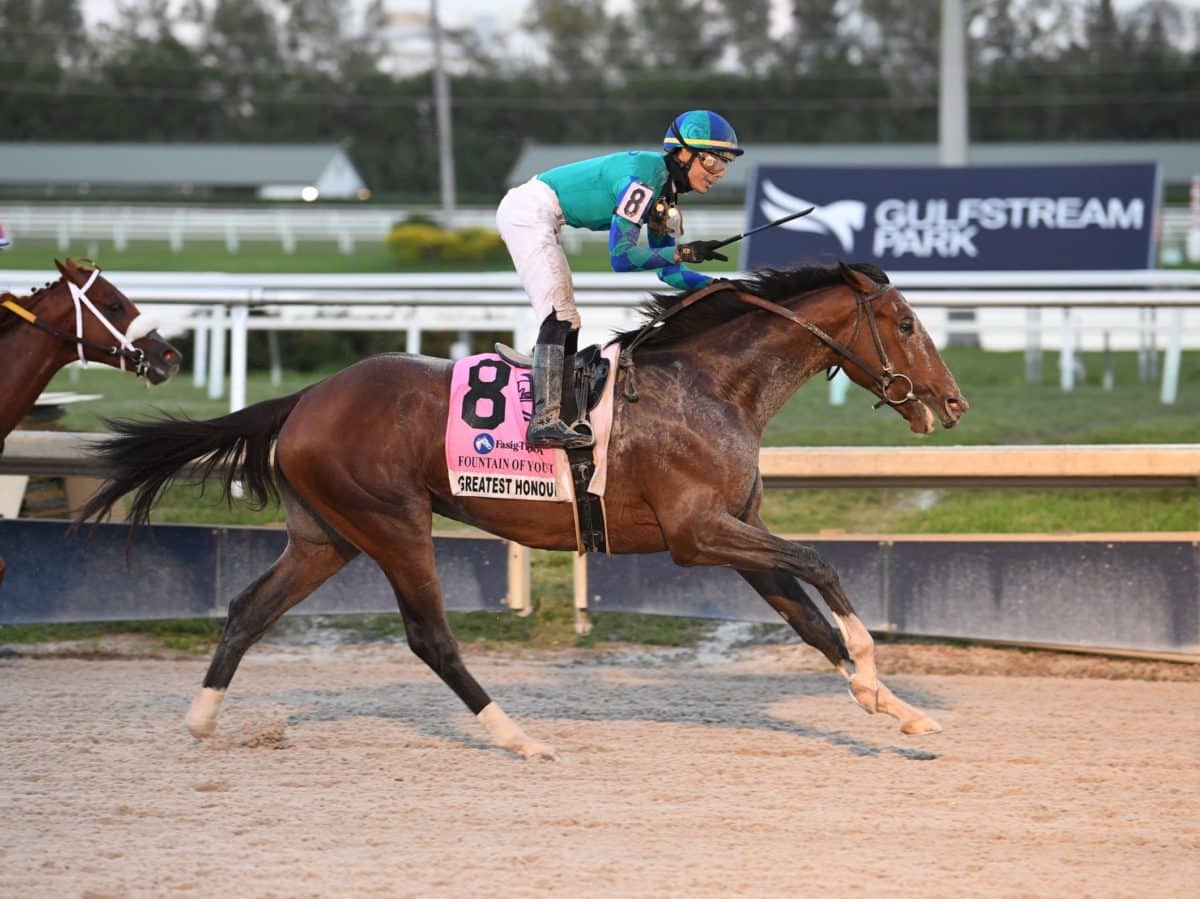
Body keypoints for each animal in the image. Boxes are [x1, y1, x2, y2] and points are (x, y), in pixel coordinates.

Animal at [77, 261, 964, 758]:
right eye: (907, 321)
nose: (952, 402)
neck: (709, 386)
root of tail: (302, 400)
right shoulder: (698, 534)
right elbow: (824, 566)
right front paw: (875, 674)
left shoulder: (736, 535)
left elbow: (810, 618)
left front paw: (897, 707)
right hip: (394, 522)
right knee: (430, 637)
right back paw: (519, 737)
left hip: (326, 534)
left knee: (248, 607)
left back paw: (201, 721)